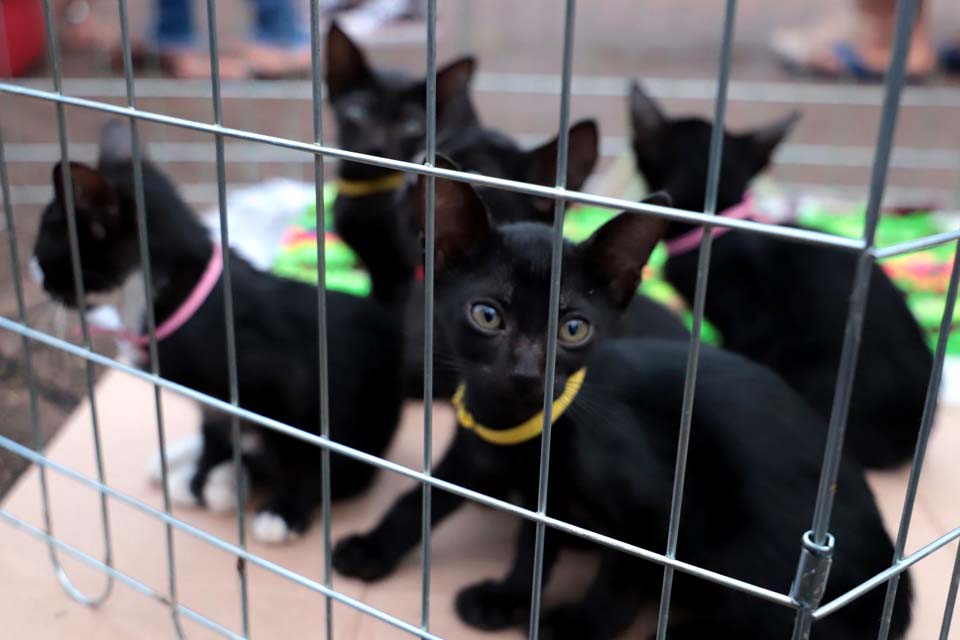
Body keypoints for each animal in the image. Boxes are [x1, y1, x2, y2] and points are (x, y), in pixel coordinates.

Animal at [33, 119, 404, 540]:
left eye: (44, 257)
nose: (42, 284)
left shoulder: (289, 386)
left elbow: (306, 452)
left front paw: (286, 510)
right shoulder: (217, 403)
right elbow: (215, 434)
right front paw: (198, 479)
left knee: (343, 470)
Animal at [330, 164, 908, 640]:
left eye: (573, 328)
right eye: (487, 315)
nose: (527, 374)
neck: (521, 431)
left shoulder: (661, 506)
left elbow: (623, 572)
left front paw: (577, 625)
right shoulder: (490, 460)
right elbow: (441, 508)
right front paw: (496, 592)